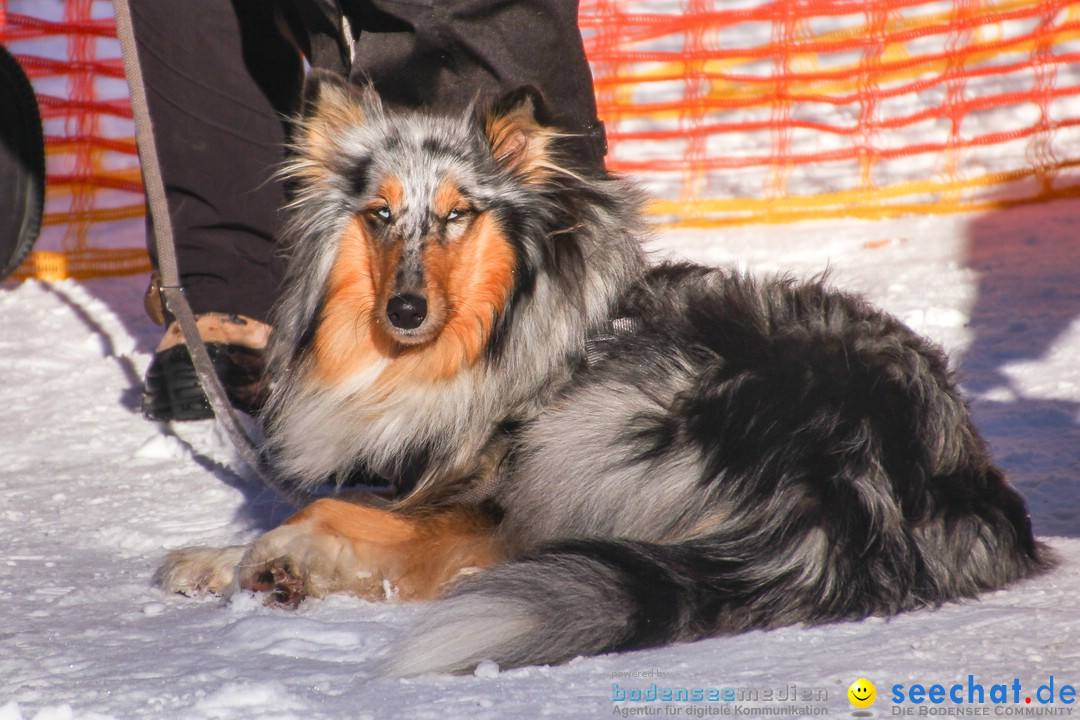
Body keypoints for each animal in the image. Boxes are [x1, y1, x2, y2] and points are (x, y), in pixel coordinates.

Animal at [156, 70, 1049, 677]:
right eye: (379, 216)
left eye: (457, 214)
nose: (405, 311)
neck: (479, 345)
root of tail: (869, 488)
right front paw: (215, 561)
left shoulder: (489, 504)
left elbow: (334, 510)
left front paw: (274, 558)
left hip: (604, 423)